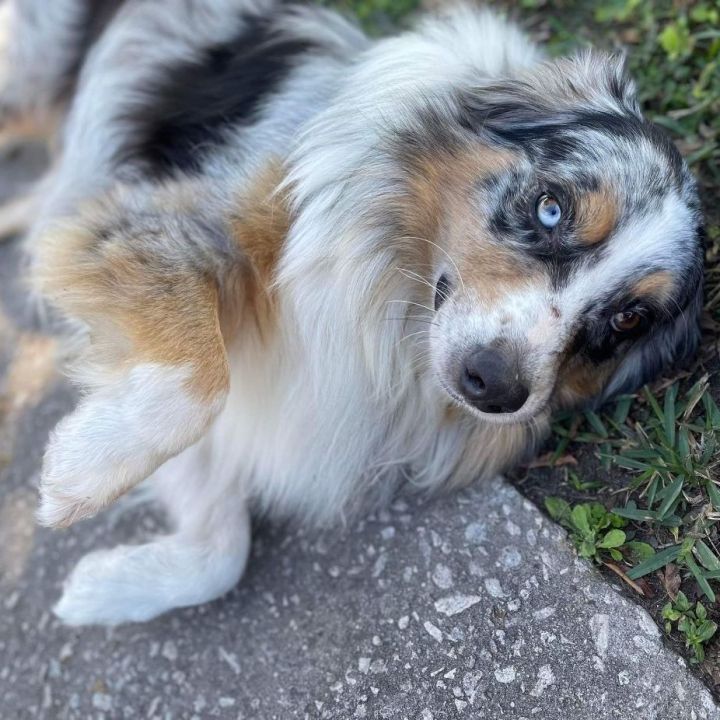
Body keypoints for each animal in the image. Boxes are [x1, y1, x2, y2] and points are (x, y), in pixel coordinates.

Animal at [0, 0, 700, 624]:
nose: (494, 385)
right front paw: (84, 470)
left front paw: (100, 588)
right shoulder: (166, 219)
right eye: (551, 208)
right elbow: (195, 387)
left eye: (628, 321)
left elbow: (222, 549)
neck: (388, 304)